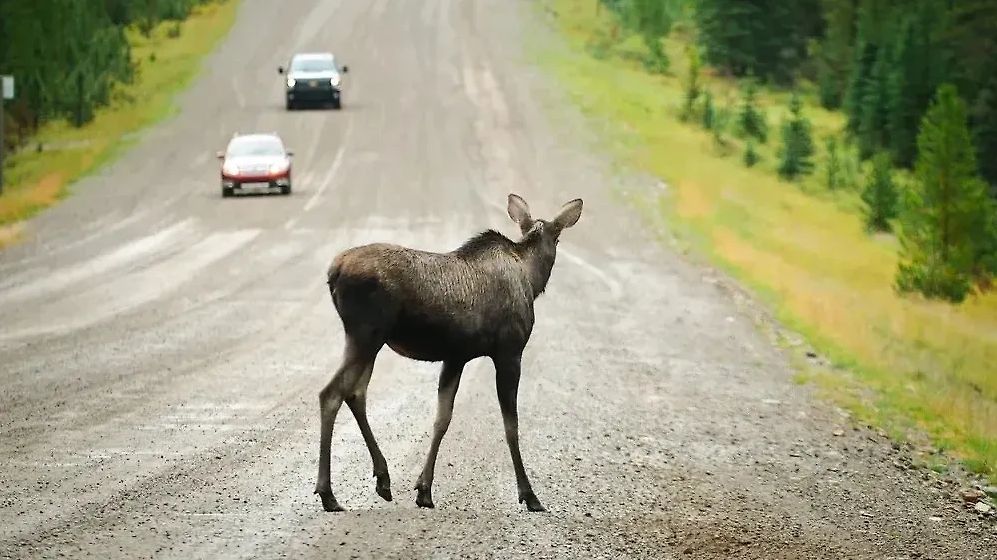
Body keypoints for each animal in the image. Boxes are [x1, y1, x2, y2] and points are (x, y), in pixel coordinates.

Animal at [314, 193, 583, 513]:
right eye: (558, 237)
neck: (531, 277)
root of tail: (333, 271)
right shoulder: (509, 352)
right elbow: (511, 426)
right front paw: (529, 495)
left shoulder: (456, 357)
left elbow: (442, 419)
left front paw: (424, 489)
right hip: (366, 335)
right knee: (331, 394)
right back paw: (328, 493)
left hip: (366, 340)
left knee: (355, 393)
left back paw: (382, 478)